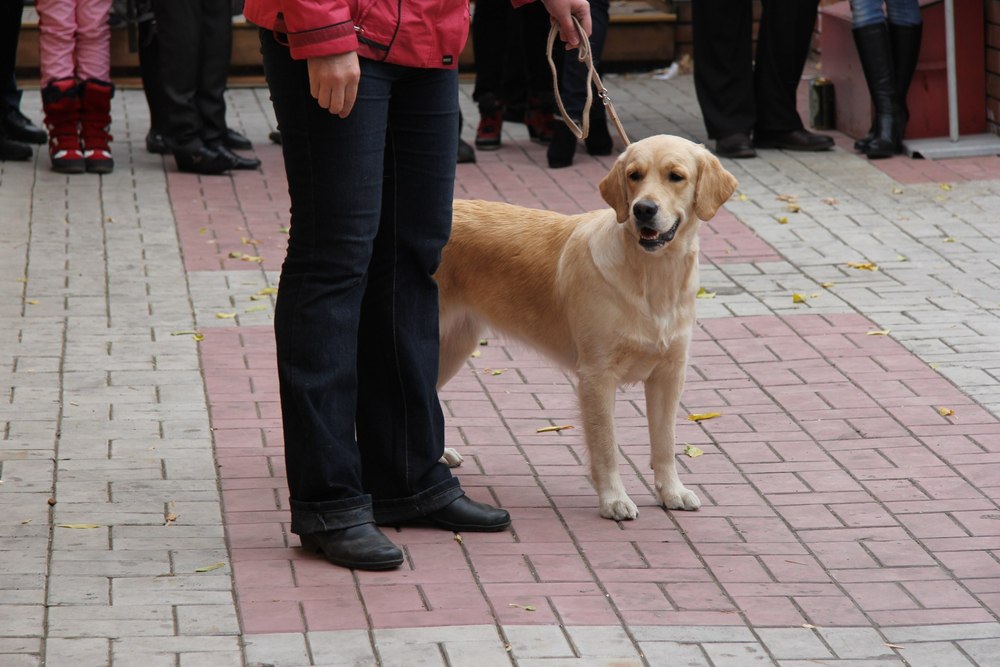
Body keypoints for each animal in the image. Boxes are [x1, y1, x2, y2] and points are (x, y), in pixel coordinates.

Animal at [436, 136, 736, 520]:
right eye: (634, 175)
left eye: (676, 176)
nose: (643, 210)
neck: (652, 276)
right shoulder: (597, 375)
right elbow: (606, 446)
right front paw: (613, 499)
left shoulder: (669, 374)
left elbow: (665, 443)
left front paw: (672, 492)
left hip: (453, 347)